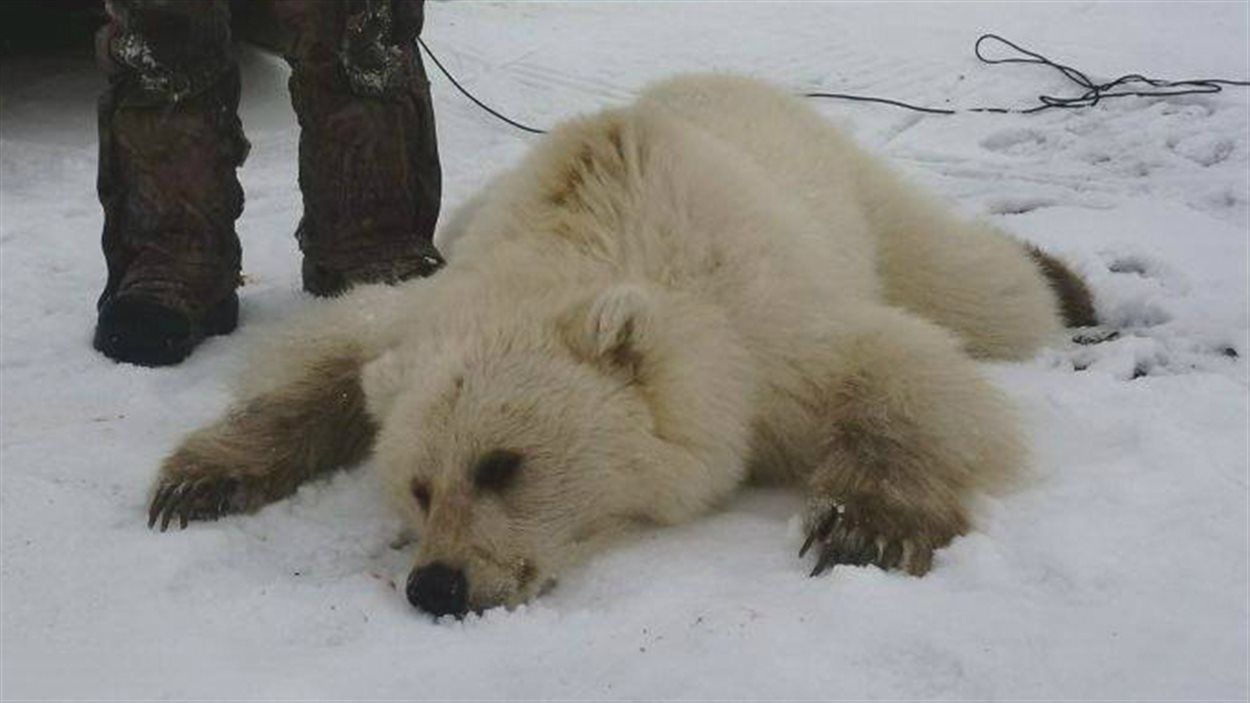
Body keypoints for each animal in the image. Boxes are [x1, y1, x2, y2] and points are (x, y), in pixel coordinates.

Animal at [151, 73, 1100, 615]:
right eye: (417, 486)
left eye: (502, 463)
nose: (437, 585)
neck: (593, 229)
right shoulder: (438, 298)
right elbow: (336, 345)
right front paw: (199, 481)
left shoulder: (762, 333)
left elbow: (899, 368)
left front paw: (864, 526)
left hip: (849, 195)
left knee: (976, 288)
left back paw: (1065, 283)